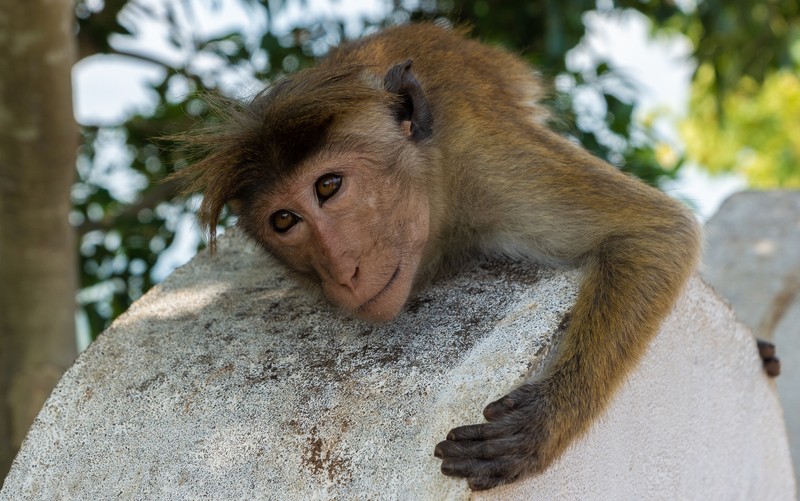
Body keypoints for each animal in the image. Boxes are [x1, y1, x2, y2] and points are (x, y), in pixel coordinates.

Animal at [170, 22, 708, 488]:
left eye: (328, 186)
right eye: (284, 221)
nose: (343, 272)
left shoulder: (488, 161)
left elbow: (654, 230)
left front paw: (544, 421)